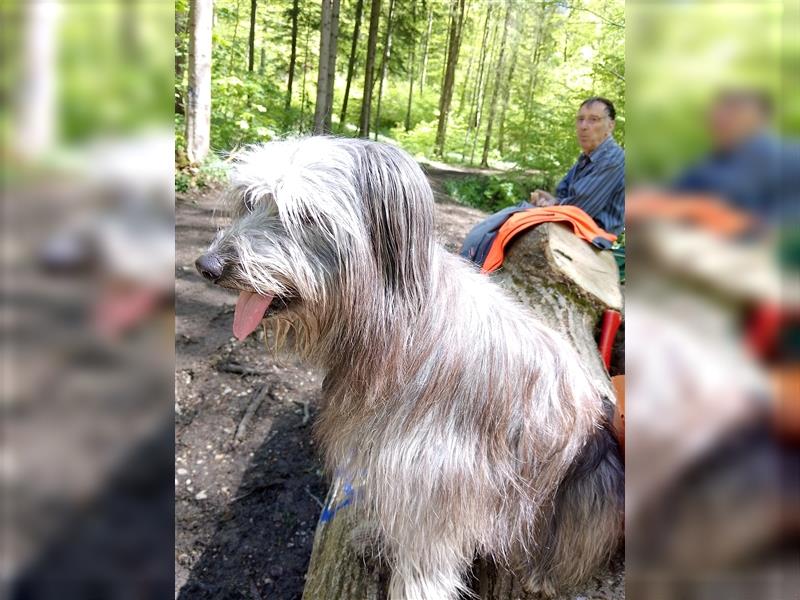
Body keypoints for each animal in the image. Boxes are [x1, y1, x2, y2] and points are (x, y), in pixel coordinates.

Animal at [195, 137, 624, 600]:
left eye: (305, 215)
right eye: (250, 200)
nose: (208, 266)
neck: (393, 329)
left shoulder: (437, 485)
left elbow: (423, 570)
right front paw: (375, 536)